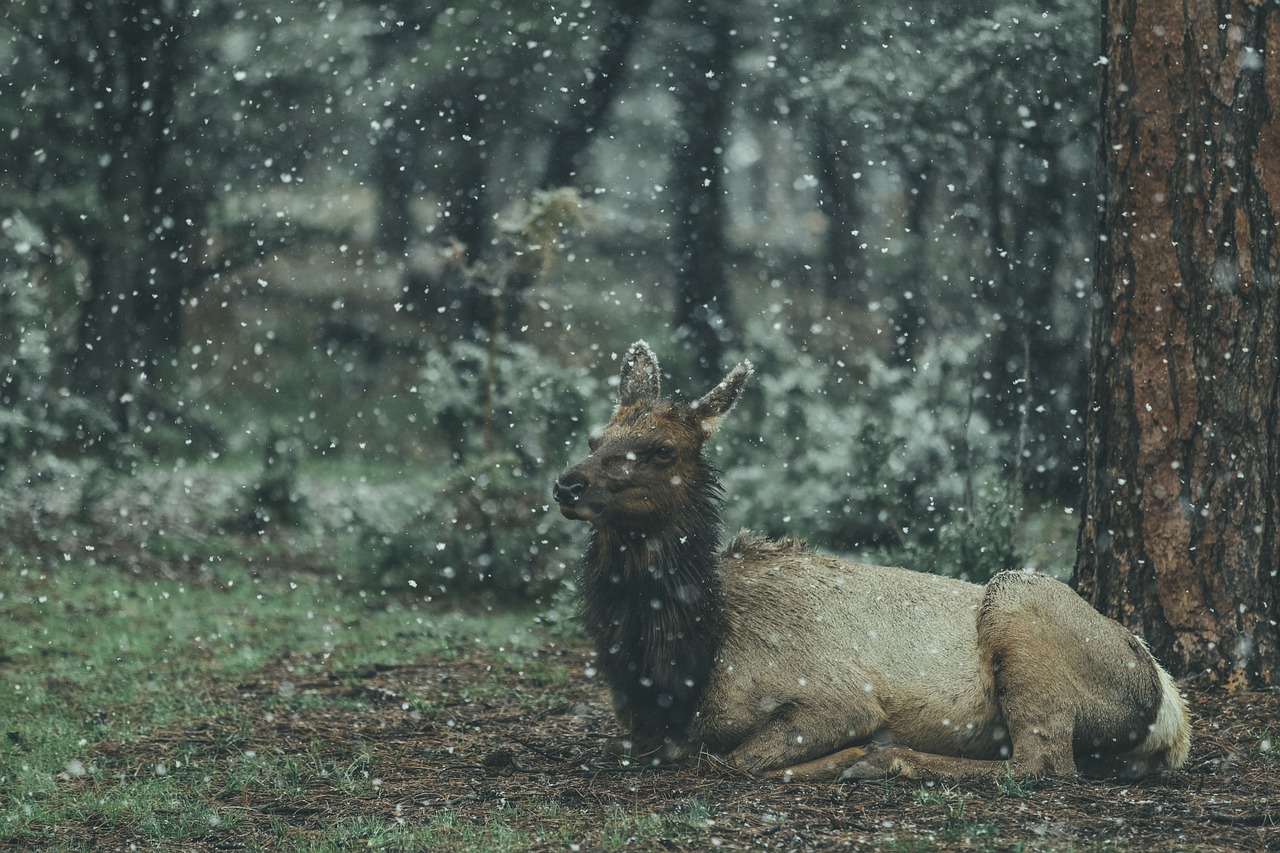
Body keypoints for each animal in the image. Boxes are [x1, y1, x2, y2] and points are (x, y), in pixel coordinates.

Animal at [550, 338, 1187, 778]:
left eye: (662, 449)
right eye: (595, 439)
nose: (567, 483)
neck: (681, 666)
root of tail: (1169, 710)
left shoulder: (838, 698)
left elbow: (735, 758)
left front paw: (850, 754)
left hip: (1020, 604)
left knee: (1043, 762)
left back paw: (885, 760)